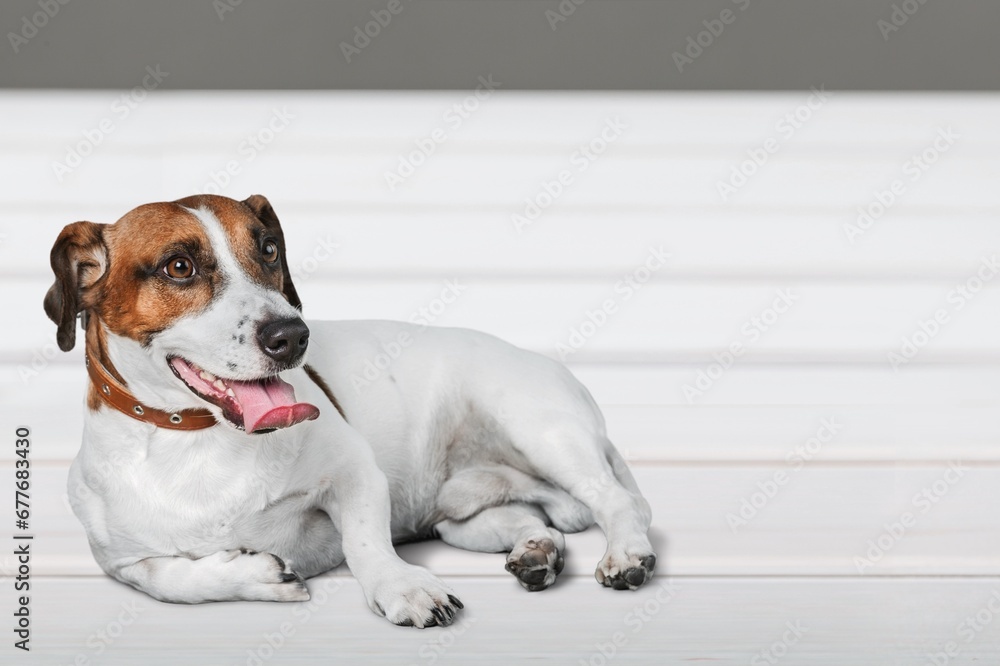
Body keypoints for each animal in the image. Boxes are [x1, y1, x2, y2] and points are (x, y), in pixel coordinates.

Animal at [45, 193, 656, 628]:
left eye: (269, 249)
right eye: (178, 267)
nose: (292, 335)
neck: (198, 440)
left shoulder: (356, 475)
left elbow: (366, 543)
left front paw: (402, 587)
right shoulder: (119, 562)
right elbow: (165, 579)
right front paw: (257, 574)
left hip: (541, 432)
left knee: (618, 501)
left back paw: (626, 554)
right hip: (464, 519)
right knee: (535, 519)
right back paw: (536, 550)